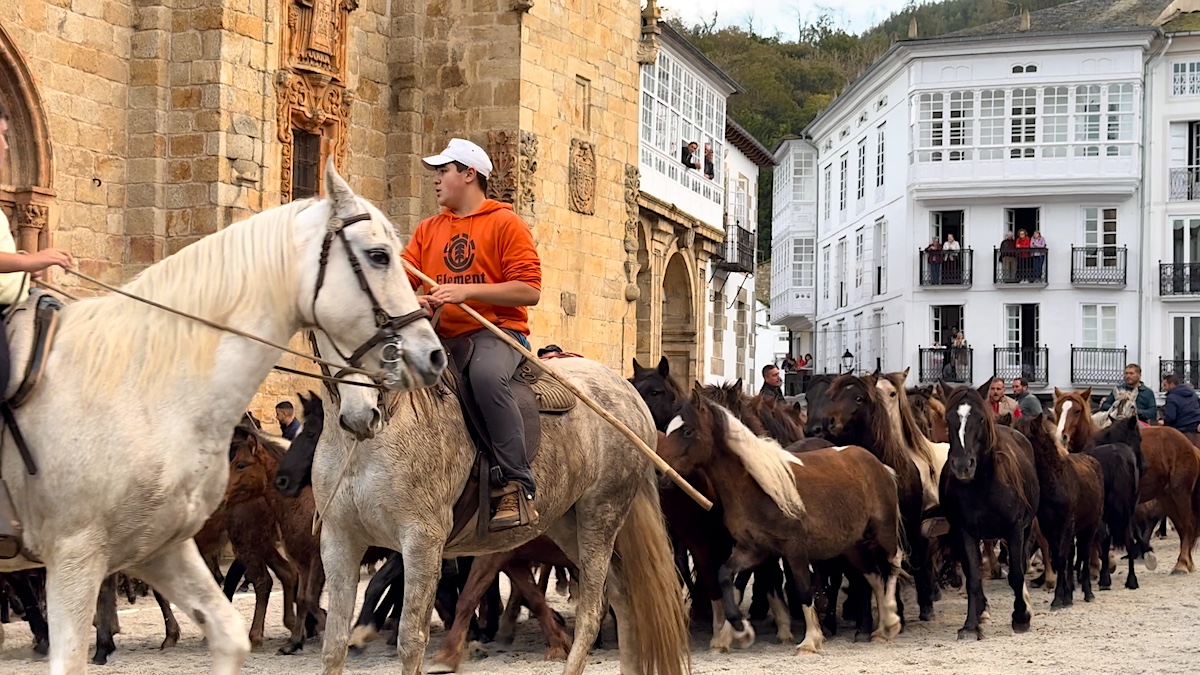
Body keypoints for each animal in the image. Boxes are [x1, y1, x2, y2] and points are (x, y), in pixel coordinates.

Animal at [657, 389, 902, 653]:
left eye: (687, 431)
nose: (659, 470)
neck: (758, 485)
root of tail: (878, 464)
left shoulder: (794, 549)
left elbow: (804, 591)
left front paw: (810, 640)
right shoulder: (753, 548)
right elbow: (725, 576)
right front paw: (737, 628)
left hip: (883, 531)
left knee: (893, 565)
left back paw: (892, 620)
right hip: (851, 545)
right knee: (874, 576)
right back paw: (881, 630)